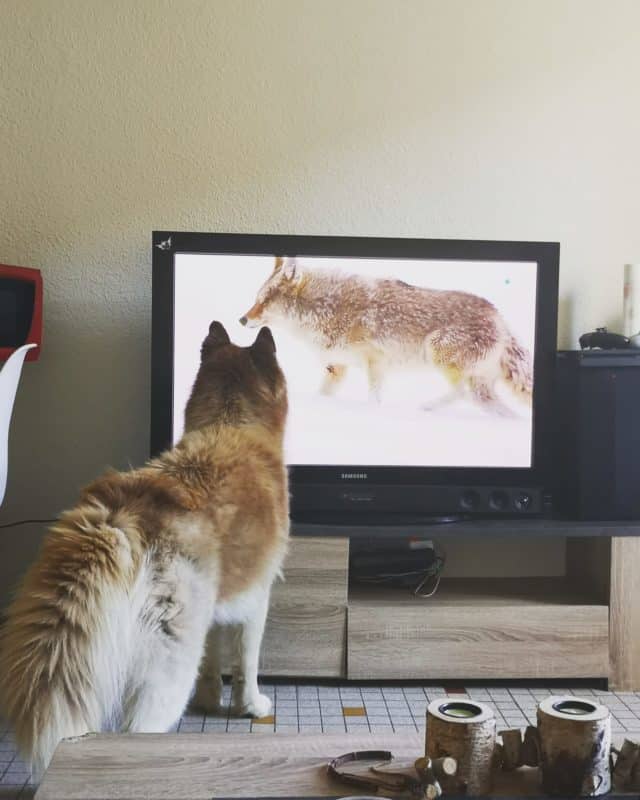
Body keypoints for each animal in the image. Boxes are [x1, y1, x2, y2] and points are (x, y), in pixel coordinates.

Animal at [0, 322, 288, 780]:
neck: (232, 421)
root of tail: (121, 514)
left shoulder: (214, 612)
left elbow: (213, 663)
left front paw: (209, 700)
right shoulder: (256, 599)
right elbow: (247, 663)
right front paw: (251, 706)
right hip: (168, 662)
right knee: (140, 729)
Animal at [240, 260, 528, 416]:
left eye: (264, 301)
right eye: (256, 299)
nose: (242, 319)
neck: (326, 309)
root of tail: (500, 319)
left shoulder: (375, 363)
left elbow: (373, 399)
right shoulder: (337, 368)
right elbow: (322, 395)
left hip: (437, 352)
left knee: (461, 392)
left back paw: (426, 407)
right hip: (483, 392)